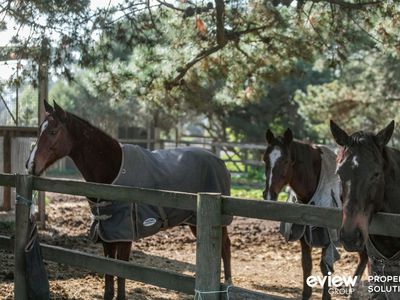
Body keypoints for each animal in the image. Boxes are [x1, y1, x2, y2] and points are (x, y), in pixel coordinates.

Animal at [26, 101, 233, 300]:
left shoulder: (125, 235)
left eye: (53, 131)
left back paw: (228, 286)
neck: (112, 170)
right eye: (39, 130)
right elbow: (109, 274)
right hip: (194, 222)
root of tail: (219, 161)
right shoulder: (108, 234)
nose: (30, 165)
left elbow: (122, 271)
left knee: (225, 247)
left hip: (213, 223)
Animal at [260, 129, 368, 300]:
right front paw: (306, 294)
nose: (269, 195)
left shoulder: (328, 238)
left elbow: (325, 267)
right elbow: (307, 265)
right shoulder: (303, 236)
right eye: (265, 159)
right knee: (364, 257)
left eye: (286, 161)